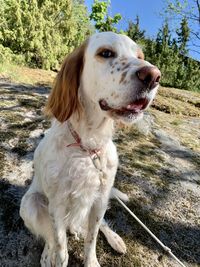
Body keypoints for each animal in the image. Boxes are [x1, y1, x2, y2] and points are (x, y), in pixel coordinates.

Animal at [19, 31, 161, 267]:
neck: (87, 145)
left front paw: (92, 260)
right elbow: (60, 246)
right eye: (106, 53)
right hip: (30, 204)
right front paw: (57, 257)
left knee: (99, 225)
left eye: (140, 56)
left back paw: (115, 239)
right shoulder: (56, 205)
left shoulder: (99, 200)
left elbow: (92, 238)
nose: (153, 76)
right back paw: (47, 254)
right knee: (49, 236)